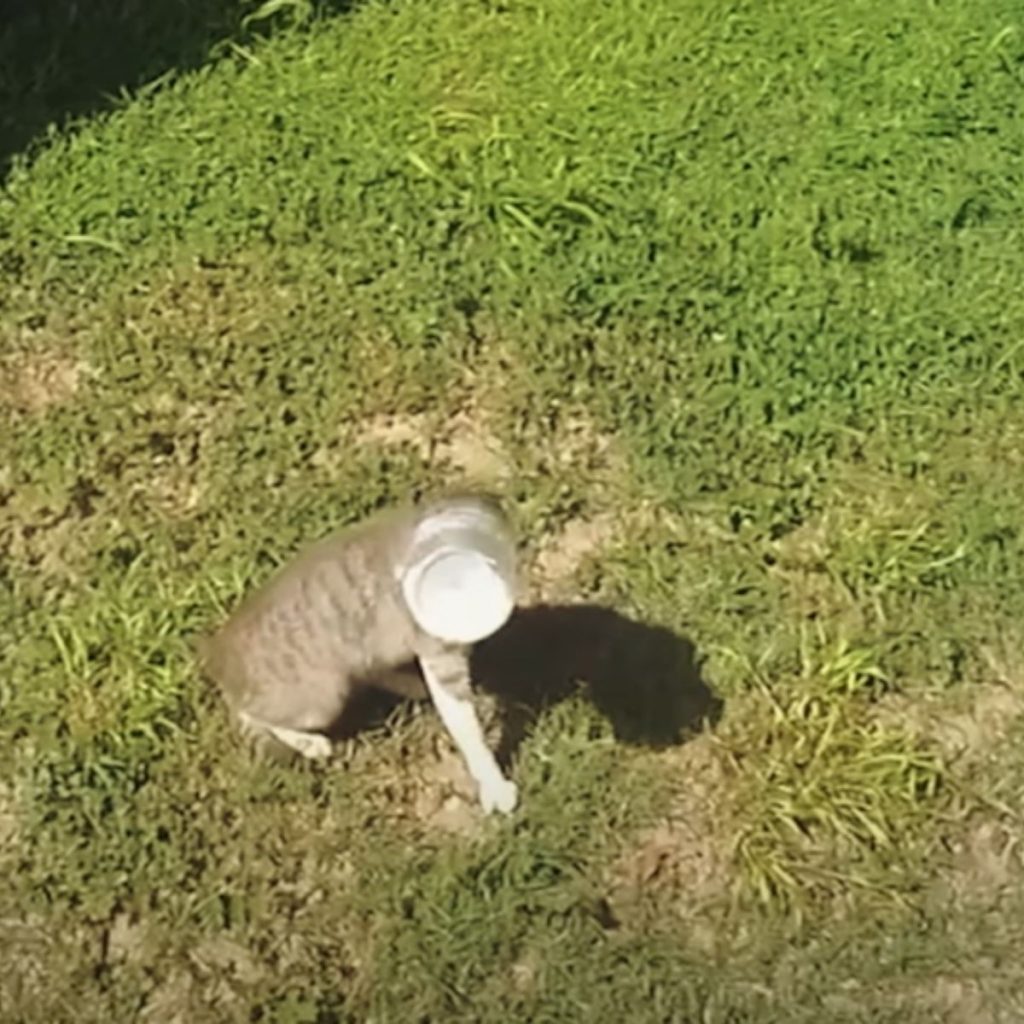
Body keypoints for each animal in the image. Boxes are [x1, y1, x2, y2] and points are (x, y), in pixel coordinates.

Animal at [198, 493, 520, 815]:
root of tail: (216, 654)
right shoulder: (440, 659)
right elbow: (468, 730)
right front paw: (494, 786)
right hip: (322, 697)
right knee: (253, 715)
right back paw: (309, 743)